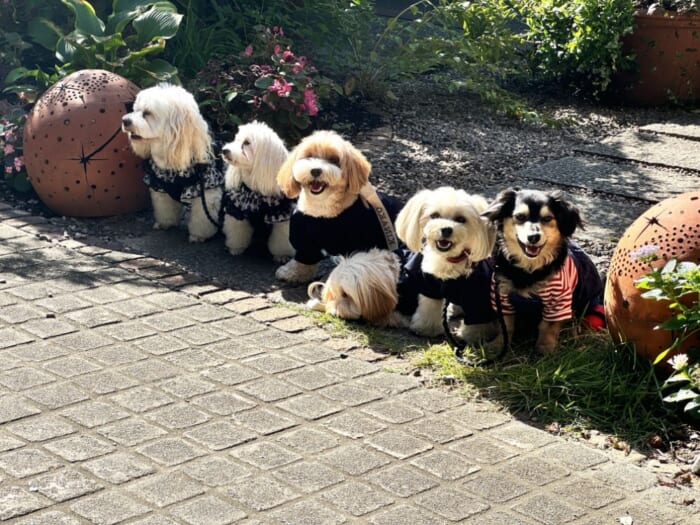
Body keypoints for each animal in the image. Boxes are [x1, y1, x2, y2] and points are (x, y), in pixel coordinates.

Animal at [220, 122, 294, 262]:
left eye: (247, 143)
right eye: (236, 139)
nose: (224, 150)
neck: (255, 193)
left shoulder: (282, 217)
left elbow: (282, 240)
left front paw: (282, 255)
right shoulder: (238, 211)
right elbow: (237, 232)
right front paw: (236, 248)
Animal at [276, 129, 402, 284]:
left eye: (334, 160)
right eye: (309, 156)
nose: (316, 170)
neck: (322, 211)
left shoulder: (357, 243)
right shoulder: (305, 240)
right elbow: (303, 260)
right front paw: (291, 273)